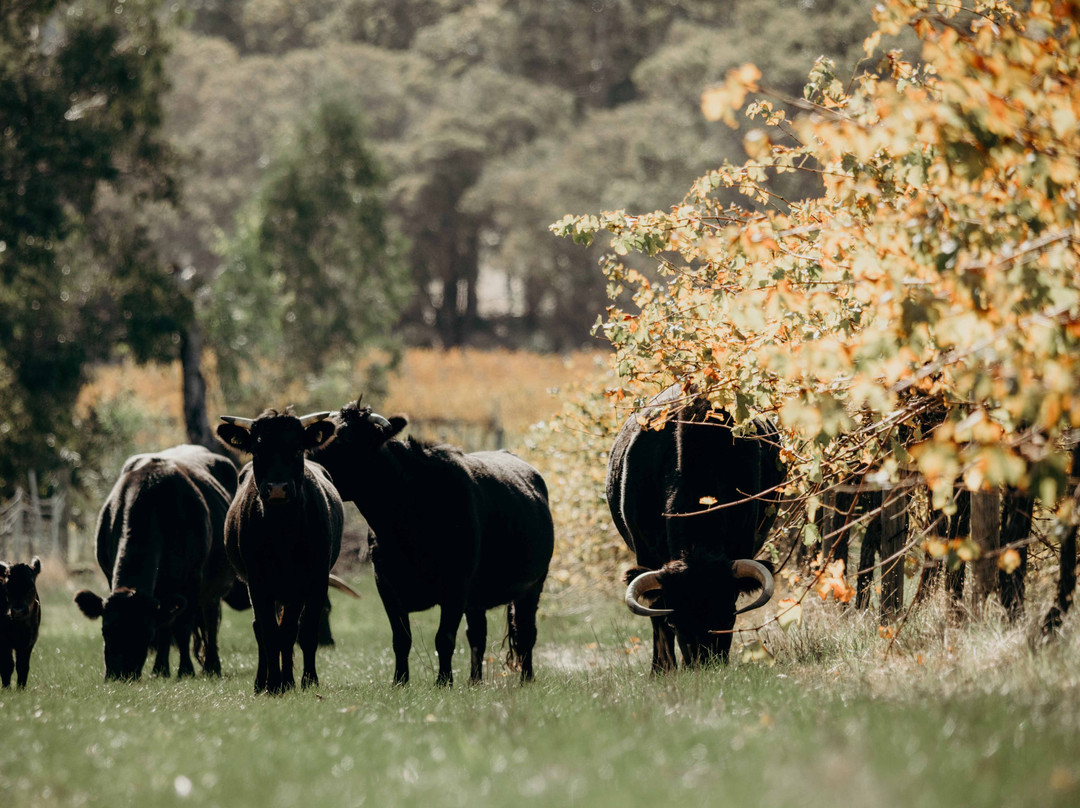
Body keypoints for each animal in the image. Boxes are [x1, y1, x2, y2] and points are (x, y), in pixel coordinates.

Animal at [0, 557, 41, 687]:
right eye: (6, 587)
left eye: (31, 586)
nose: (18, 610)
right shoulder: (4, 642)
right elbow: (7, 666)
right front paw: (7, 688)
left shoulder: (29, 642)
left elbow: (22, 666)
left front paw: (21, 688)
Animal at [75, 445, 239, 678]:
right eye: (105, 630)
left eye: (144, 633)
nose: (119, 675)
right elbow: (165, 627)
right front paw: (160, 670)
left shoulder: (191, 581)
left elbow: (182, 627)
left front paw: (185, 670)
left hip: (214, 588)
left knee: (210, 621)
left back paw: (212, 666)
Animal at [214, 410, 341, 695]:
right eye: (258, 450)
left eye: (297, 449)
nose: (278, 488)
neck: (283, 532)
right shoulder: (258, 581)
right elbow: (270, 631)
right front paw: (273, 684)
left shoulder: (311, 580)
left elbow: (300, 631)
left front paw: (305, 681)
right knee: (261, 629)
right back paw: (262, 682)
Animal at [306, 397, 552, 687]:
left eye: (343, 438)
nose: (306, 462)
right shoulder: (386, 584)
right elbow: (401, 639)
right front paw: (400, 682)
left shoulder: (456, 585)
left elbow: (443, 638)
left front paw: (443, 682)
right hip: (478, 598)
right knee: (477, 634)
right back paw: (474, 681)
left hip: (533, 585)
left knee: (526, 632)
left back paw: (526, 679)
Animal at [609, 384, 786, 669]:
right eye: (675, 621)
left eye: (729, 615)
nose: (705, 664)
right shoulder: (645, 554)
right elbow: (657, 618)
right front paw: (662, 669)